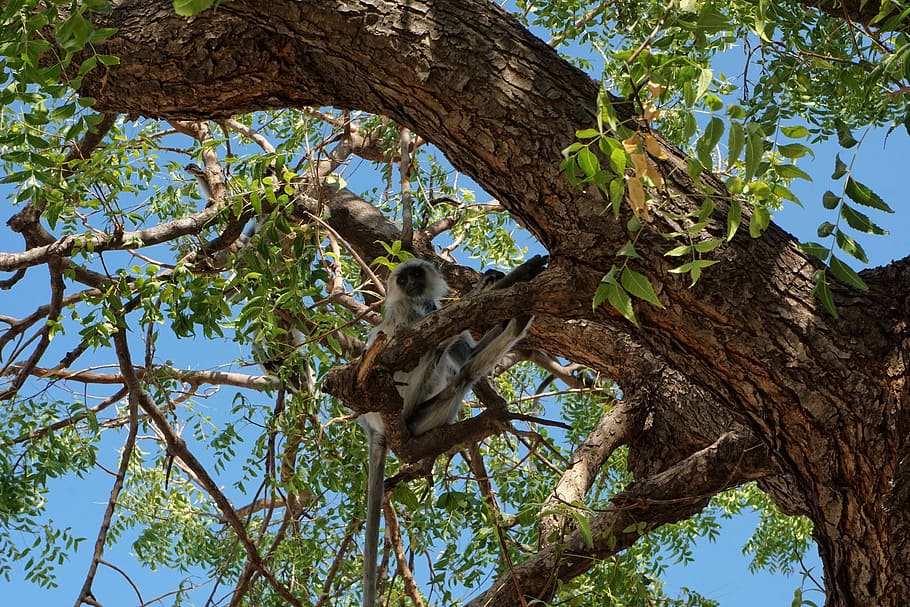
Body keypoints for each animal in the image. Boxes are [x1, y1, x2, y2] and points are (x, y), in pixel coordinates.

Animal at [359, 257, 539, 607]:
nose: (411, 283)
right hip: (404, 395)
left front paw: (504, 301)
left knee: (463, 375)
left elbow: (465, 353)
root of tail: (374, 426)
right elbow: (417, 340)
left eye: (417, 274)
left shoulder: (429, 306)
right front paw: (499, 284)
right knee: (431, 353)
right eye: (403, 279)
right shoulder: (406, 312)